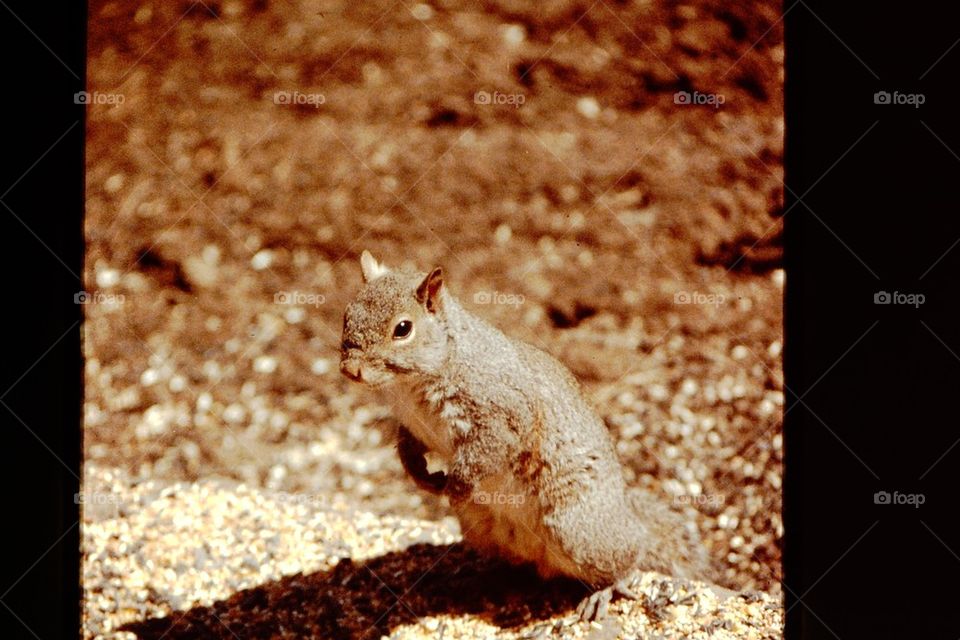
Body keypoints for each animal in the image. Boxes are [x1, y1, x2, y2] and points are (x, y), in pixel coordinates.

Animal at [339, 251, 716, 620]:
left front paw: (456, 486)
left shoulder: (503, 415)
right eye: (347, 314)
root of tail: (628, 515)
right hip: (482, 529)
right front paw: (422, 476)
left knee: (626, 561)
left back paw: (603, 590)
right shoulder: (411, 423)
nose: (350, 370)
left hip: (577, 531)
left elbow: (484, 453)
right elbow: (407, 447)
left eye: (403, 328)